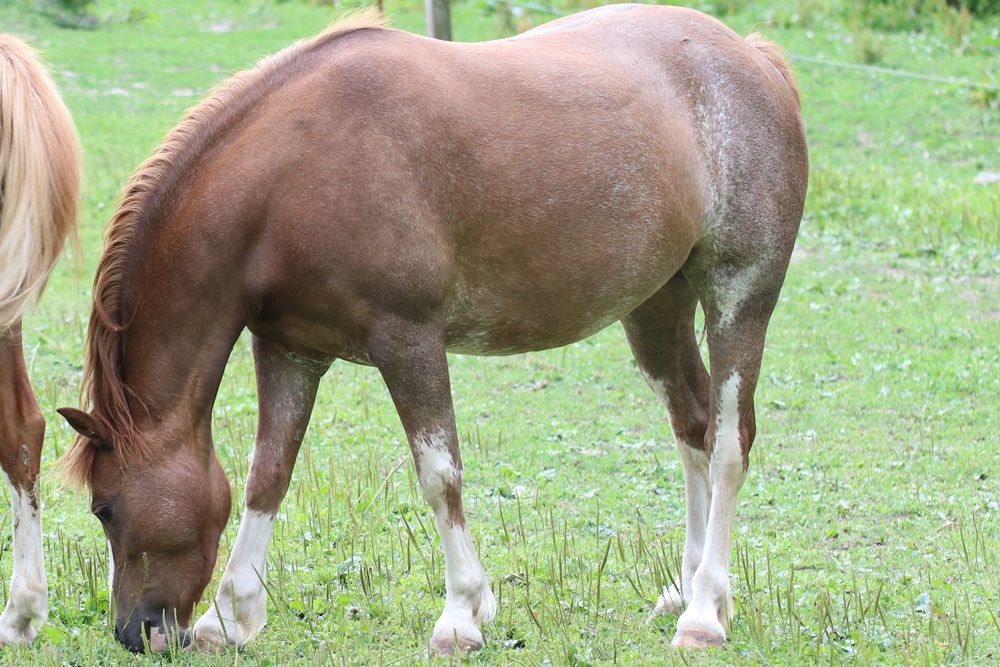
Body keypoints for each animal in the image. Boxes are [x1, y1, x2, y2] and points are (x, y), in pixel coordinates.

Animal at [58, 3, 804, 652]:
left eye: (105, 508)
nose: (136, 632)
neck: (293, 174)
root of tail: (754, 58)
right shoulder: (290, 348)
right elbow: (267, 474)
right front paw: (231, 614)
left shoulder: (407, 339)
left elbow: (439, 474)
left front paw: (463, 614)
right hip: (655, 307)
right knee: (693, 426)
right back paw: (684, 587)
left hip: (739, 298)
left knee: (729, 442)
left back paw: (704, 611)